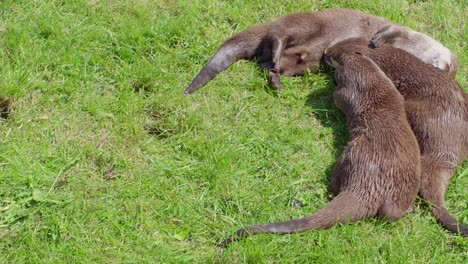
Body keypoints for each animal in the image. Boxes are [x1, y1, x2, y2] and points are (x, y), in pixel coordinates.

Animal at [183, 8, 458, 94]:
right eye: (444, 65)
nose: (437, 68)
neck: (413, 46)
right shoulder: (403, 30)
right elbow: (389, 31)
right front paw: (378, 40)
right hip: (306, 24)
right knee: (278, 35)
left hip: (299, 64)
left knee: (267, 62)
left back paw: (276, 79)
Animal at [219, 51, 420, 245]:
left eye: (334, 58)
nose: (326, 55)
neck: (374, 90)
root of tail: (368, 185)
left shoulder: (346, 96)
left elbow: (338, 96)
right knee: (390, 213)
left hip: (349, 156)